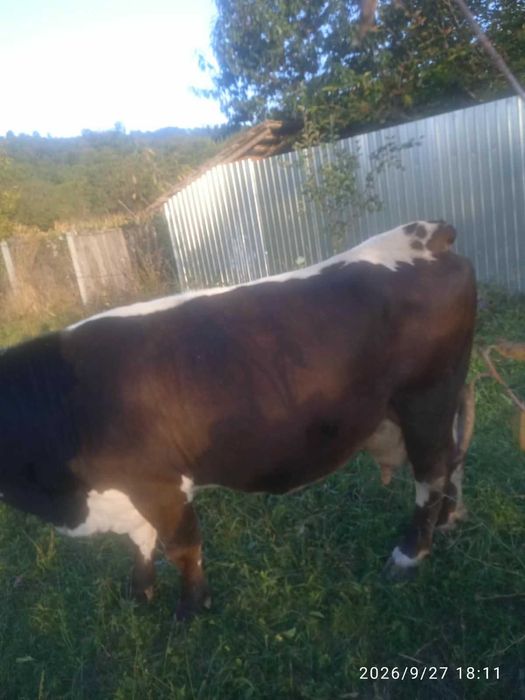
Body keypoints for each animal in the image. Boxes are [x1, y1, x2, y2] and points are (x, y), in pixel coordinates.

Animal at [0, 221, 476, 620]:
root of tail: (425, 235)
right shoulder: (130, 491)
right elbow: (140, 541)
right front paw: (139, 594)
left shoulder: (160, 485)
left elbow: (181, 548)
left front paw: (190, 610)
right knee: (451, 459)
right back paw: (449, 519)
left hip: (426, 399)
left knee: (430, 474)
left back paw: (410, 553)